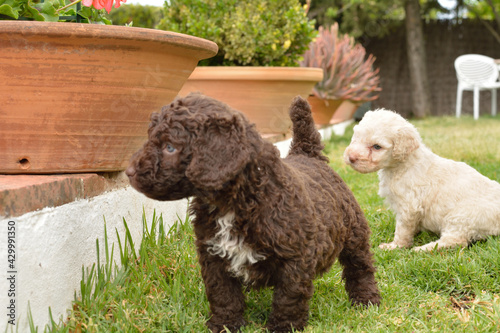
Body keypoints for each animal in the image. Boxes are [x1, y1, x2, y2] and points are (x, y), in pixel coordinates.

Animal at [125, 92, 378, 330]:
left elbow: (289, 297)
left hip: (354, 233)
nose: (128, 172)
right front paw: (225, 324)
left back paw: (365, 300)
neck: (234, 203)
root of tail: (307, 154)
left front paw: (284, 327)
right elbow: (223, 294)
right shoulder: (213, 256)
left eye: (170, 147)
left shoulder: (296, 258)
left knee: (360, 267)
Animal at [344, 110, 500, 250]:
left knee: (455, 241)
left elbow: (402, 229)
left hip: (461, 216)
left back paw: (422, 249)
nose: (351, 157)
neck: (403, 164)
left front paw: (395, 246)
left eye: (377, 147)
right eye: (355, 136)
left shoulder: (409, 205)